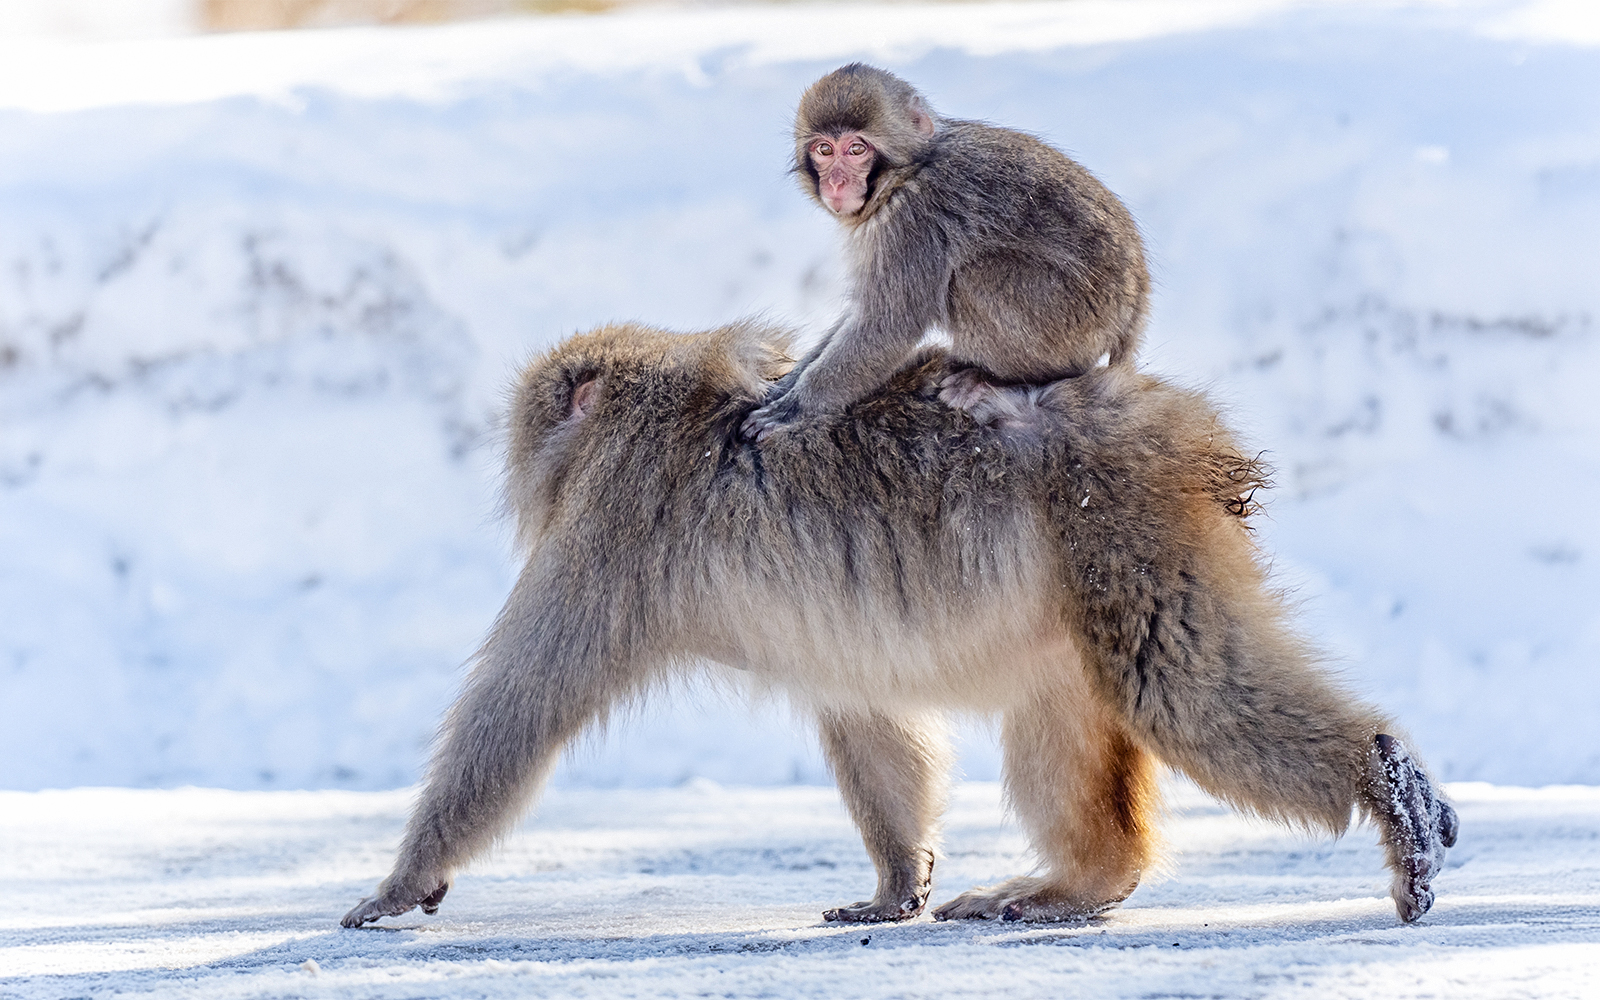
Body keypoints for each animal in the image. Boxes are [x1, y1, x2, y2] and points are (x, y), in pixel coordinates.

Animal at [341, 320, 1457, 930]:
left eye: (536, 429)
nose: (523, 484)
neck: (647, 402)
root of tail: (1179, 427)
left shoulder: (612, 525)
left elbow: (522, 704)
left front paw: (403, 879)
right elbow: (870, 717)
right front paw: (895, 884)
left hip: (1124, 526)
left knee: (1178, 685)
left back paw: (1388, 783)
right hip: (1090, 568)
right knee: (1067, 701)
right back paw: (1081, 882)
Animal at [740, 63, 1151, 443]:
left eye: (856, 149)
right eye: (824, 150)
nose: (837, 182)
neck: (907, 172)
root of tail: (1135, 304)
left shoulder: (911, 223)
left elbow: (886, 326)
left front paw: (795, 409)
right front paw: (784, 383)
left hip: (1073, 324)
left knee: (973, 278)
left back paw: (998, 380)